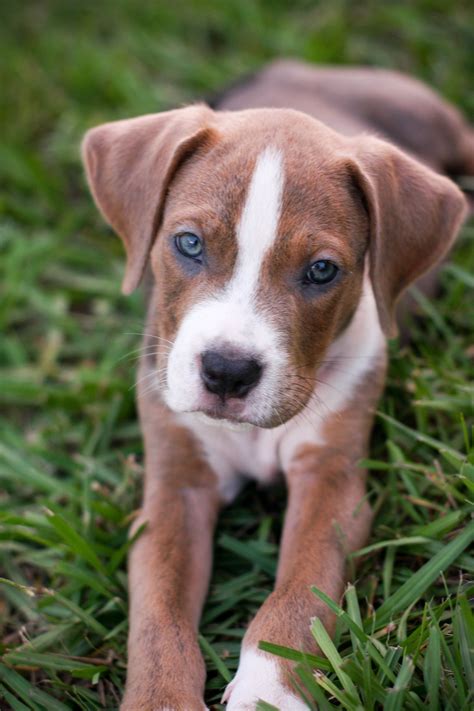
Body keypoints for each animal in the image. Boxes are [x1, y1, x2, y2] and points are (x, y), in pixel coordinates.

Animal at [81, 61, 470, 711]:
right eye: (188, 243)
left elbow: (298, 595)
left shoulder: (332, 485)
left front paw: (268, 691)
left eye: (322, 271)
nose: (226, 371)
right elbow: (158, 620)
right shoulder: (174, 491)